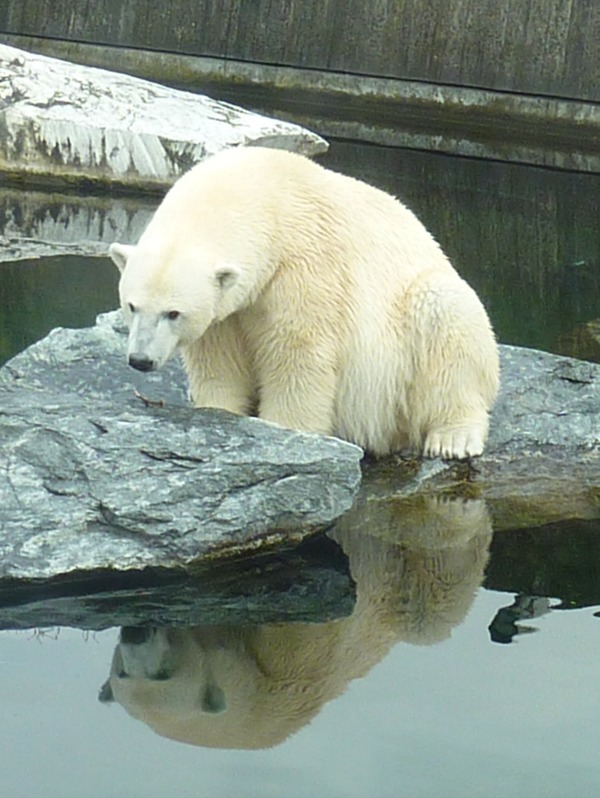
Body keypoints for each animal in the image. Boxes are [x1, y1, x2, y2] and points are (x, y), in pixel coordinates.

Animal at [110, 144, 500, 456]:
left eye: (173, 313)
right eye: (132, 306)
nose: (140, 360)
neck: (266, 194)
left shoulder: (305, 265)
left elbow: (298, 354)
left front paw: (287, 431)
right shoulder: (227, 312)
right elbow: (220, 360)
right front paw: (219, 411)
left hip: (421, 318)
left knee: (448, 323)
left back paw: (453, 438)